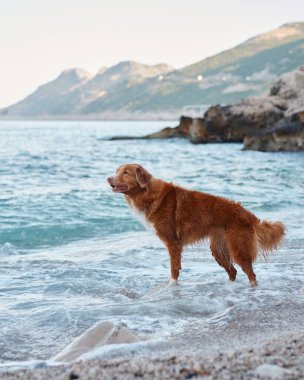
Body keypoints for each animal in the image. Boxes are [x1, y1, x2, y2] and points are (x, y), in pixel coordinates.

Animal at [107, 163, 284, 284]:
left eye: (126, 172)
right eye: (116, 171)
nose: (108, 178)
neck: (146, 193)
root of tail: (248, 214)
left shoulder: (173, 243)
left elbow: (174, 269)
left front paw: (171, 287)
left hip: (238, 248)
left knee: (251, 274)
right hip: (219, 250)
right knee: (232, 271)